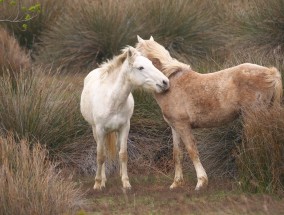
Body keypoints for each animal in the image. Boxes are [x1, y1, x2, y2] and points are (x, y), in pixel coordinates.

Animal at [80, 45, 169, 190]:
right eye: (141, 67)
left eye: (151, 63)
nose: (165, 82)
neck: (112, 100)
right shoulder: (100, 130)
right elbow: (100, 156)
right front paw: (98, 183)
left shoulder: (125, 127)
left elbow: (123, 154)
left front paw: (126, 182)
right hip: (95, 131)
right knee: (102, 151)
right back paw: (103, 180)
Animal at [136, 36, 282, 191]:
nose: (164, 83)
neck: (171, 83)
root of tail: (270, 73)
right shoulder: (175, 127)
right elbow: (177, 154)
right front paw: (176, 183)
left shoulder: (183, 126)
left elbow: (192, 151)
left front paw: (201, 182)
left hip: (253, 117)